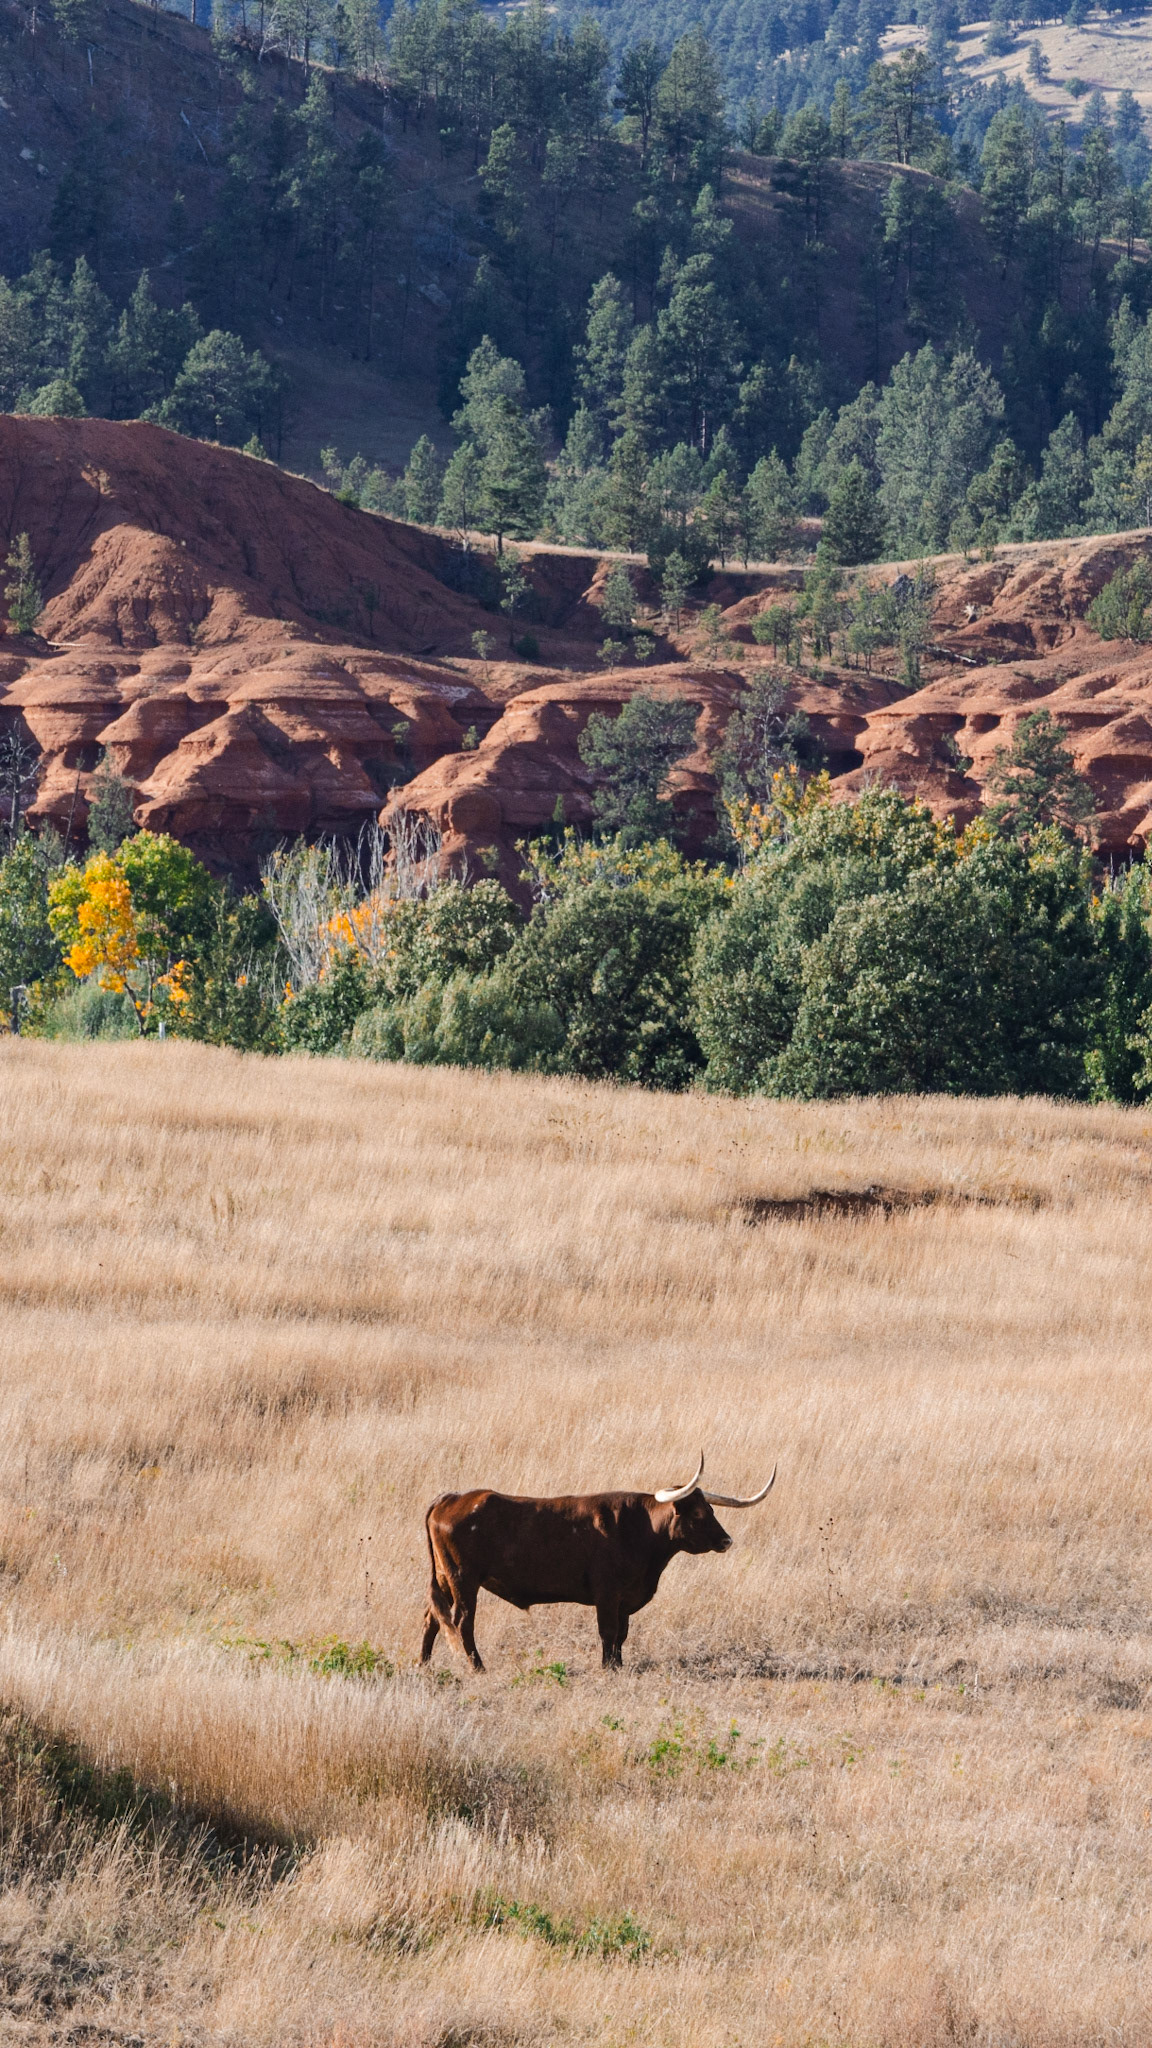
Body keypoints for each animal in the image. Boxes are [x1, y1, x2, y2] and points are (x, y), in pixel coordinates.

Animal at [419, 1452, 776, 1671]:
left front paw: (619, 1665)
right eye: (699, 1514)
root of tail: (450, 1498)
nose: (726, 1541)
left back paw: (423, 1664)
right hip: (463, 1579)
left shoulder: (625, 1600)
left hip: (445, 1578)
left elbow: (621, 1635)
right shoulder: (607, 1595)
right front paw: (608, 1668)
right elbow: (608, 1631)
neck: (638, 1528)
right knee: (462, 1622)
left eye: (712, 1509)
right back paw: (478, 1668)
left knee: (432, 1619)